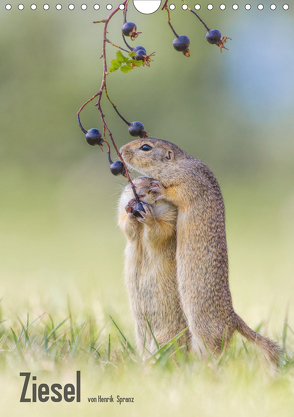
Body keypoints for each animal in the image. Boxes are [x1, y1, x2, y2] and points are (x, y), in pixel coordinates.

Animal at [117, 175, 188, 354]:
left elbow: (160, 231)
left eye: (152, 187)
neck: (140, 225)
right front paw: (130, 211)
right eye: (134, 183)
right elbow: (125, 225)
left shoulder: (171, 216)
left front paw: (149, 218)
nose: (138, 195)